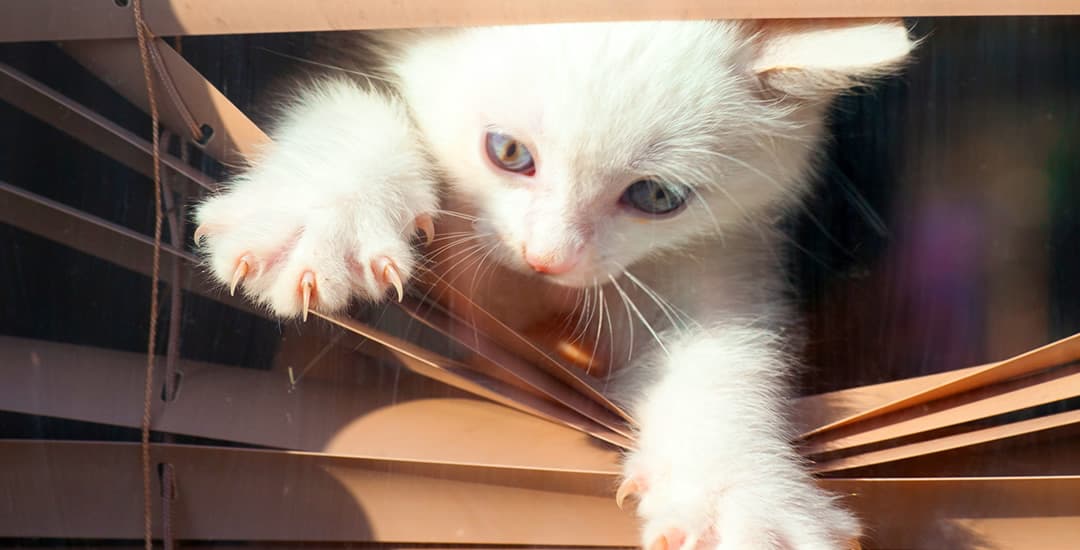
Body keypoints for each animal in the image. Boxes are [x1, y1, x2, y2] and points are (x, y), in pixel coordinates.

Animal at [192, 19, 911, 546]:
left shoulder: (725, 245)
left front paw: (741, 494)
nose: (547, 257)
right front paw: (323, 214)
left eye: (655, 196)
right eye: (508, 152)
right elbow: (343, 96)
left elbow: (722, 353)